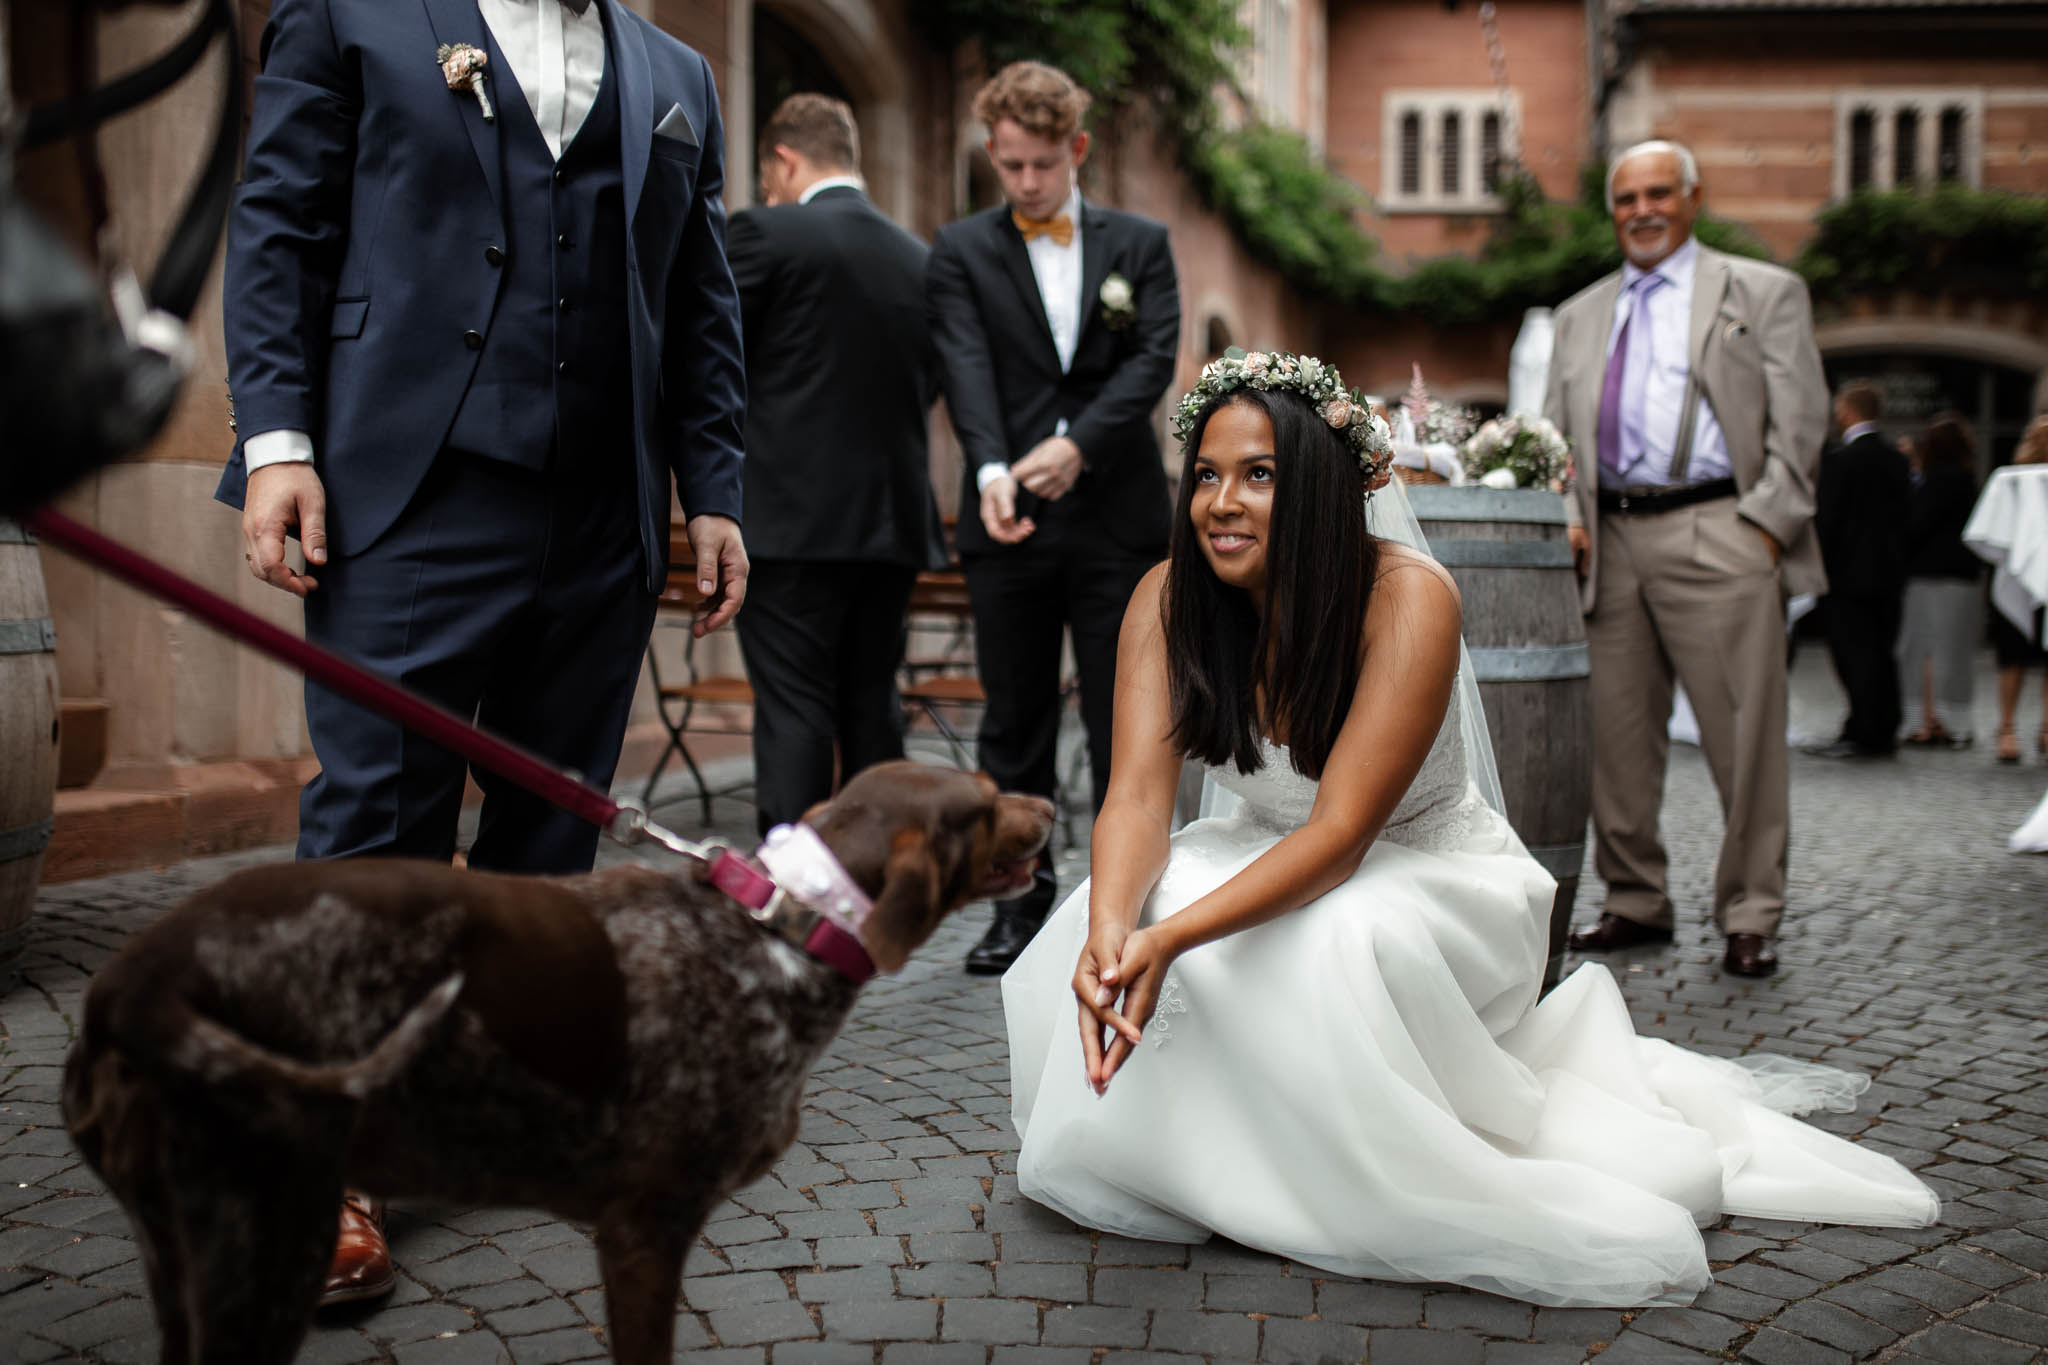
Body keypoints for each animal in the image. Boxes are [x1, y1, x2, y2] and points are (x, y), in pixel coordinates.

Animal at [64, 765, 1056, 1358]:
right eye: (985, 802)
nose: (1051, 807)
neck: (783, 925)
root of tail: (134, 982)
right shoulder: (645, 1225)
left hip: (182, 1242)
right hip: (267, 1234)